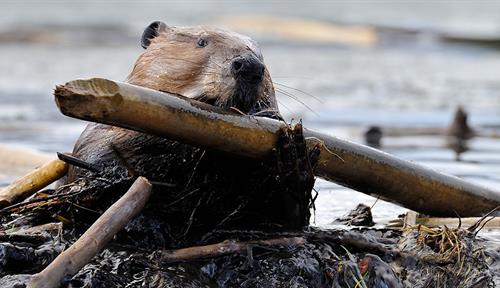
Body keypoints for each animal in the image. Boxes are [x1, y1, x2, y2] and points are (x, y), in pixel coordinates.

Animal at [64, 20, 318, 248]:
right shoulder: (95, 144)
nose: (249, 66)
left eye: (258, 52)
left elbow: (284, 217)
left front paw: (291, 148)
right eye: (202, 42)